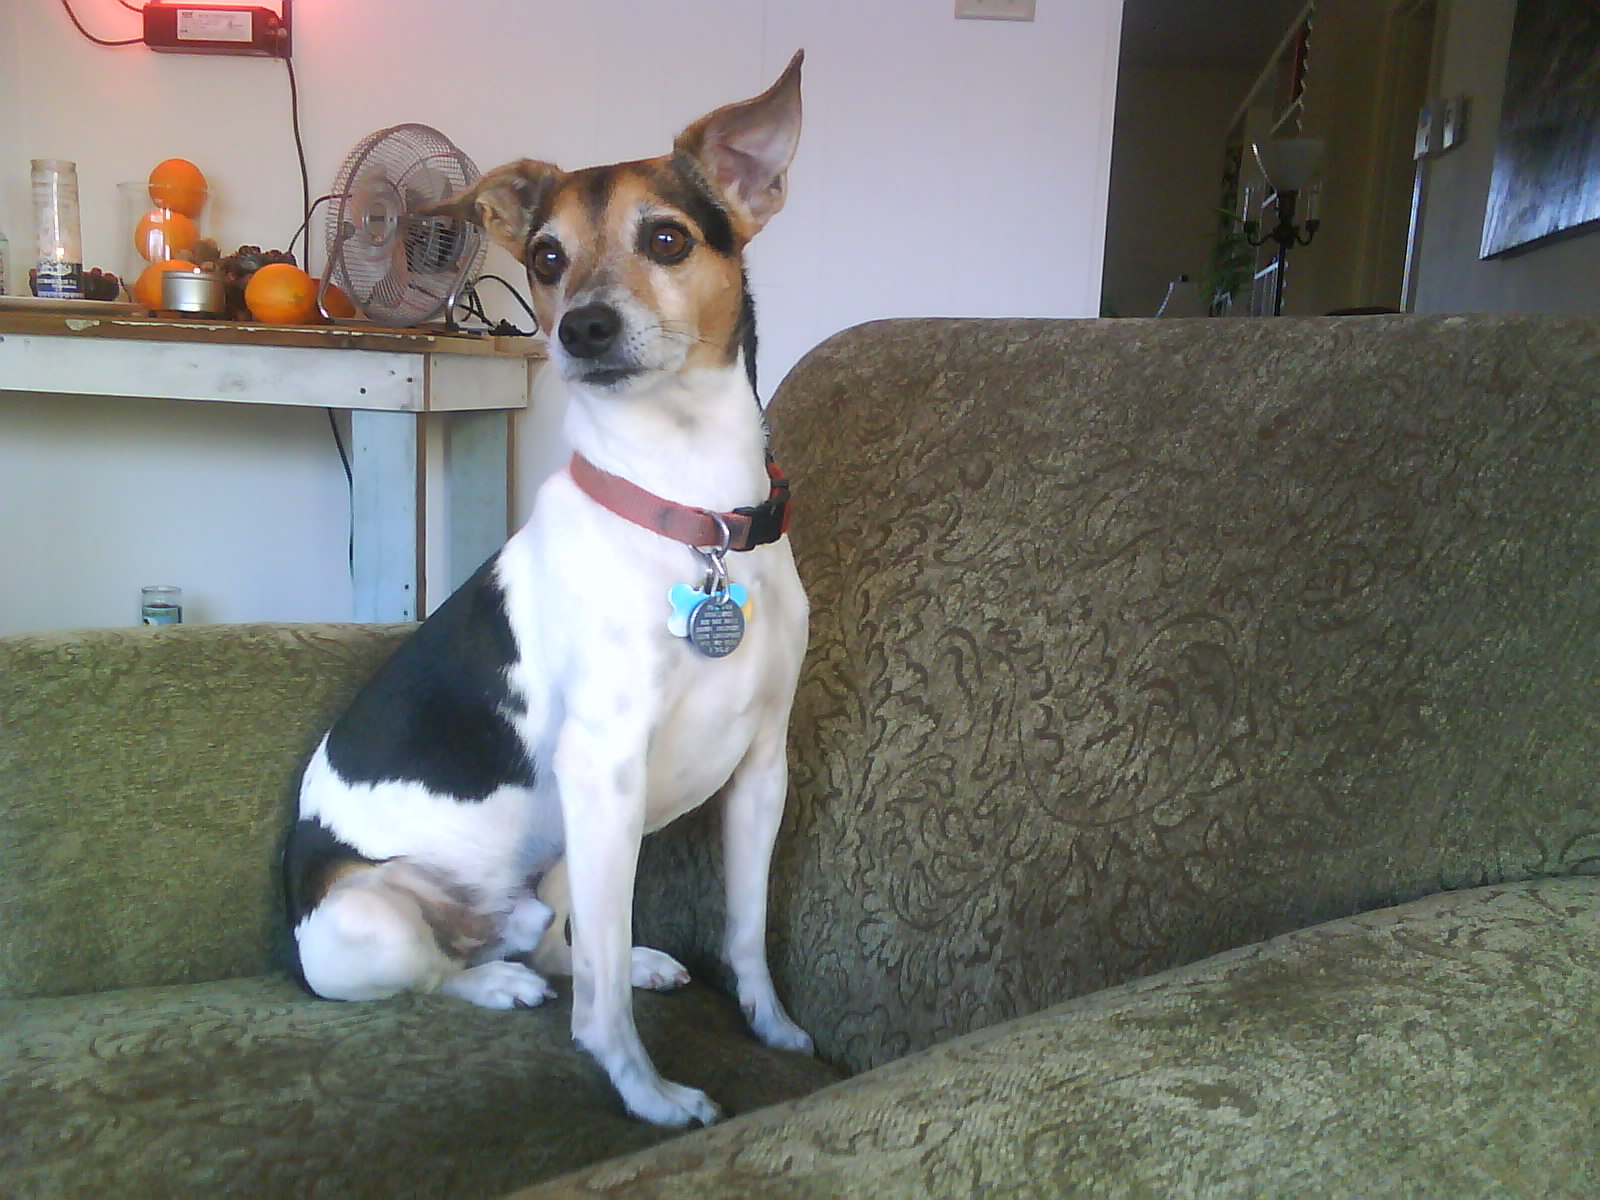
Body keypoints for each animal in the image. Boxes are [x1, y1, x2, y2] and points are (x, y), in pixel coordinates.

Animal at [281, 54, 812, 1126]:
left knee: (568, 946)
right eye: (546, 256)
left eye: (667, 237)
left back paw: (618, 959)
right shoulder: (604, 772)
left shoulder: (760, 773)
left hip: (568, 855)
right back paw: (496, 980)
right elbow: (600, 1010)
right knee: (453, 972)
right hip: (368, 924)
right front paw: (647, 1093)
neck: (689, 514)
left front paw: (769, 1026)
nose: (582, 328)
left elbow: (742, 935)